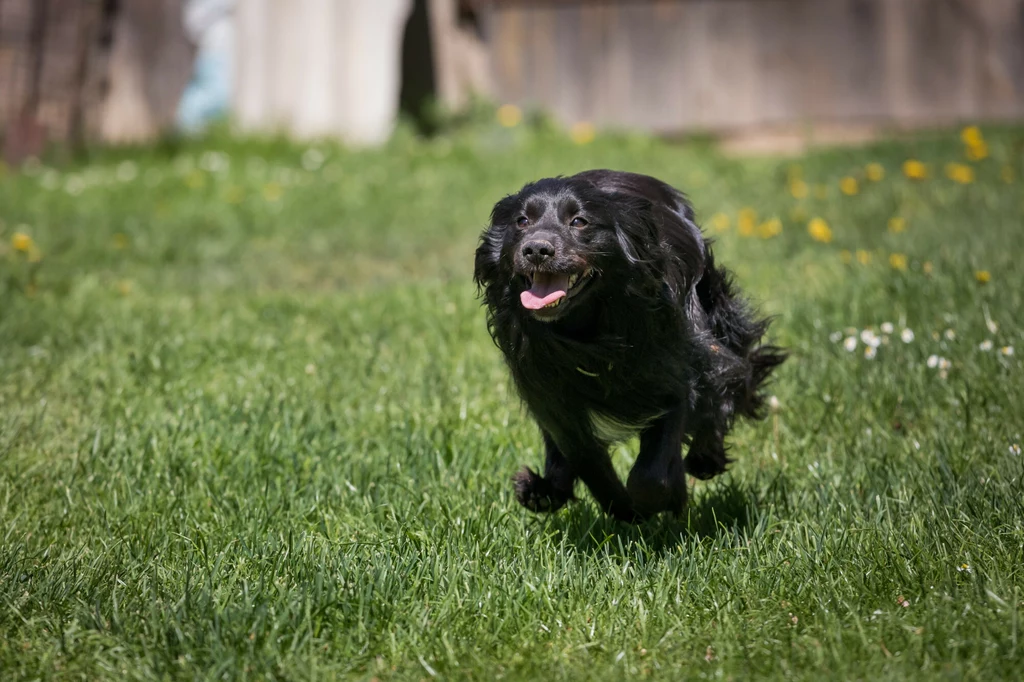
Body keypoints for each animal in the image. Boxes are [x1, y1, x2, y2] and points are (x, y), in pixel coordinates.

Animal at [471, 169, 782, 520]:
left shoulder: (675, 377)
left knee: (731, 380)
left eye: (579, 221)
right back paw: (544, 491)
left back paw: (705, 458)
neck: (588, 334)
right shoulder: (554, 399)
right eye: (522, 221)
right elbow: (590, 465)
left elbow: (650, 474)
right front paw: (627, 510)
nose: (537, 249)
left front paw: (664, 500)